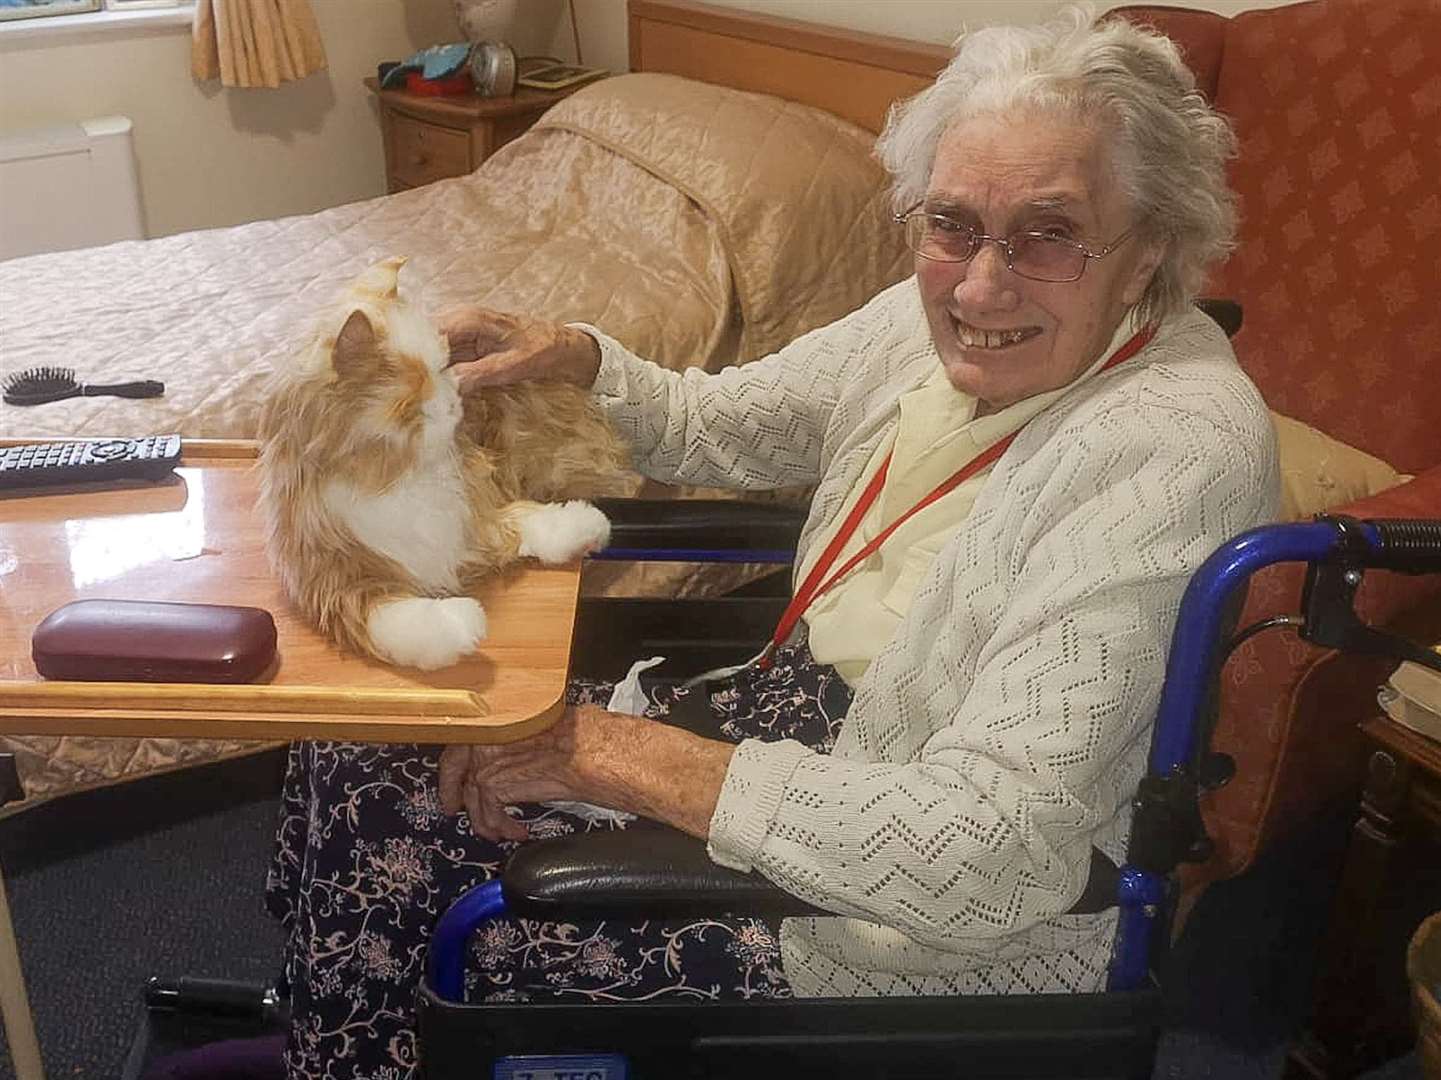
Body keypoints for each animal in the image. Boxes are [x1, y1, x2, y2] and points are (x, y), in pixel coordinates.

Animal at [260, 258, 631, 669]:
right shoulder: (332, 581)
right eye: (413, 400)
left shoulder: (477, 507)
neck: (396, 480)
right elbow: (395, 618)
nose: (454, 401)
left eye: (444, 369)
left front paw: (589, 524)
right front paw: (463, 623)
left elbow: (531, 519)